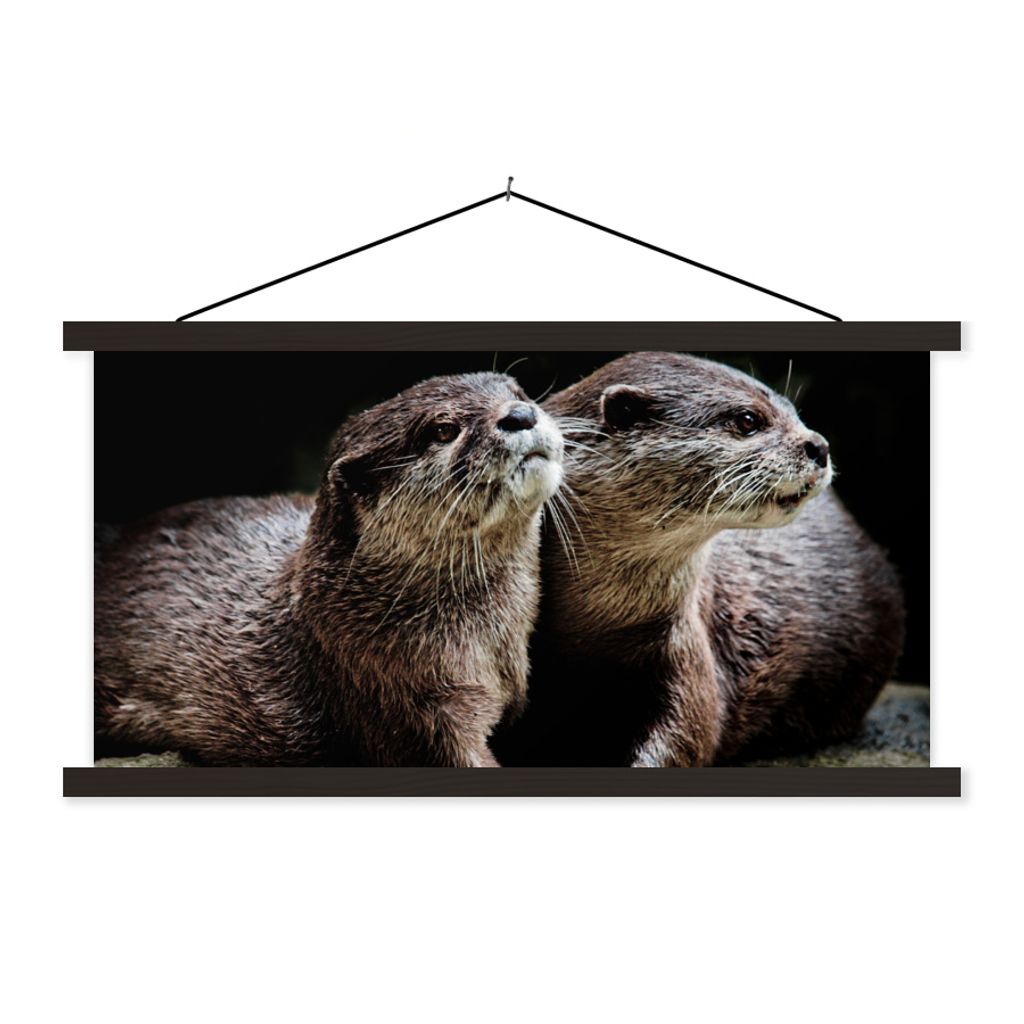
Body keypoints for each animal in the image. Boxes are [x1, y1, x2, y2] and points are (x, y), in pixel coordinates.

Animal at [492, 352, 904, 767]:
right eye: (748, 420)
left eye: (793, 412)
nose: (819, 446)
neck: (592, 630)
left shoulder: (685, 646)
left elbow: (690, 732)